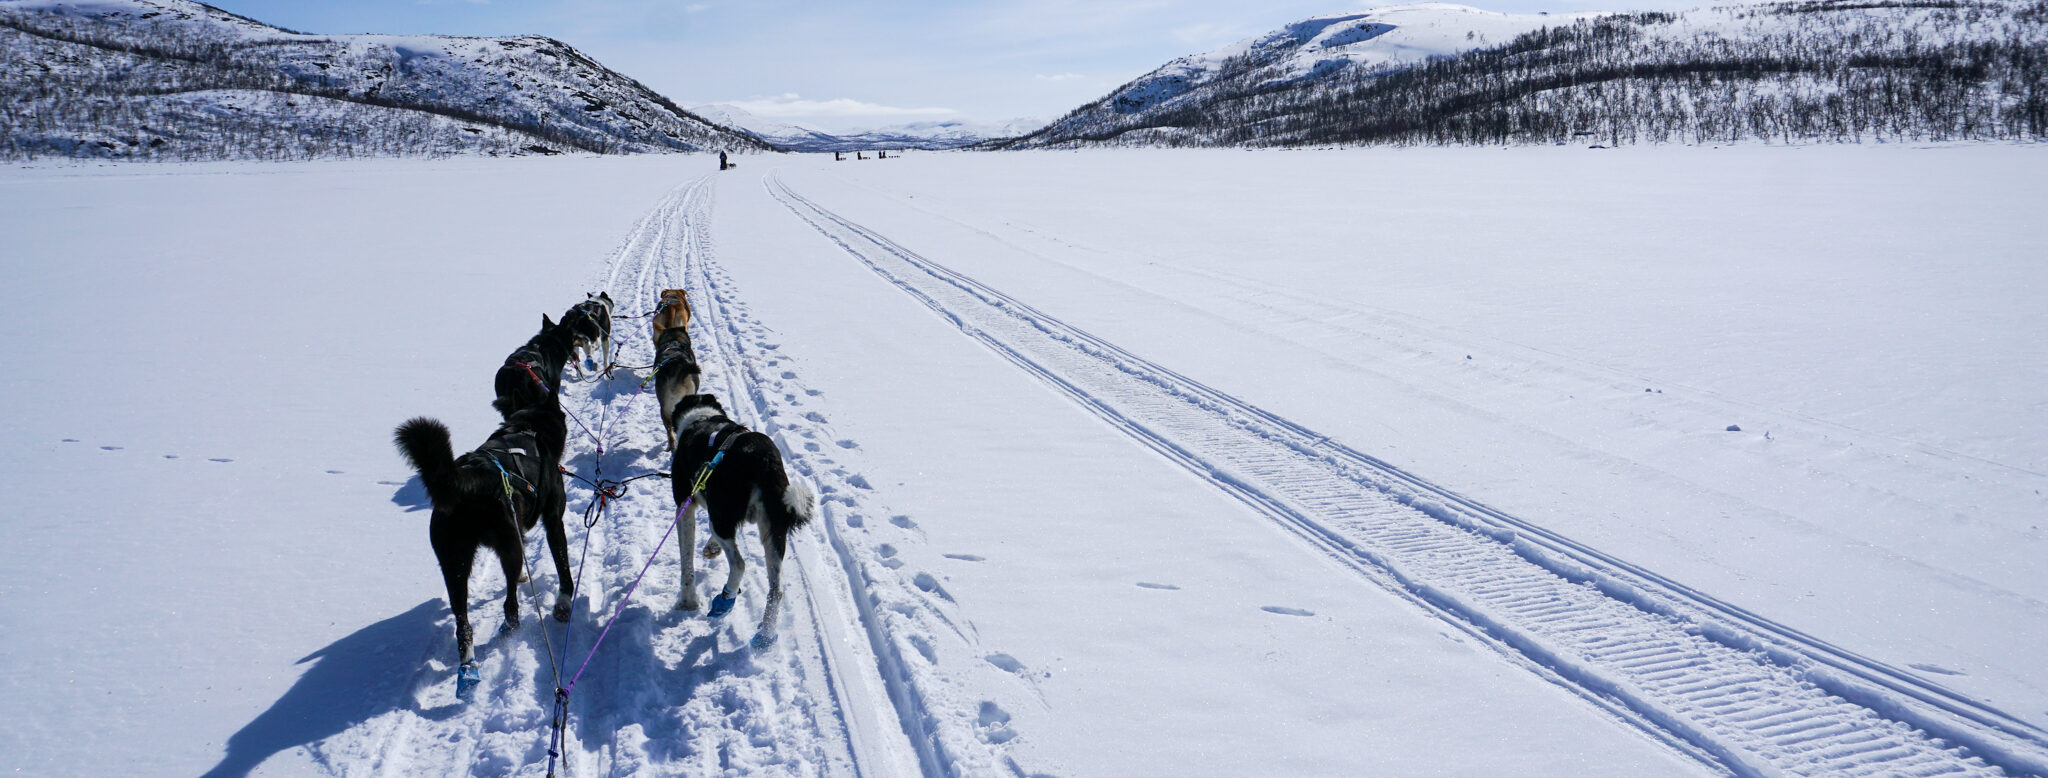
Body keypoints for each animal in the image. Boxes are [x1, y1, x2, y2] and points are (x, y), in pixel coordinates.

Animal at [393, 401, 573, 692]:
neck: (527, 427)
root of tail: (471, 478)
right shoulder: (553, 520)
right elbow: (563, 565)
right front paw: (563, 604)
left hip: (453, 562)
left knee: (462, 624)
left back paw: (468, 669)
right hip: (509, 547)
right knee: (510, 603)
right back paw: (510, 627)